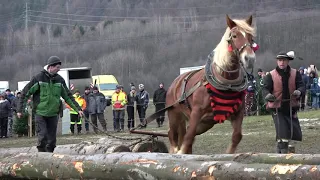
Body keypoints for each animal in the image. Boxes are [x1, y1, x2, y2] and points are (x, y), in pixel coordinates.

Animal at [165, 14, 258, 154]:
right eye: (234, 36)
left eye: (250, 37)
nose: (250, 59)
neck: (225, 82)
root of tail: (175, 83)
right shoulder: (196, 113)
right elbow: (188, 137)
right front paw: (180, 153)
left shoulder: (238, 113)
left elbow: (237, 136)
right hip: (175, 116)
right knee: (174, 137)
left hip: (203, 124)